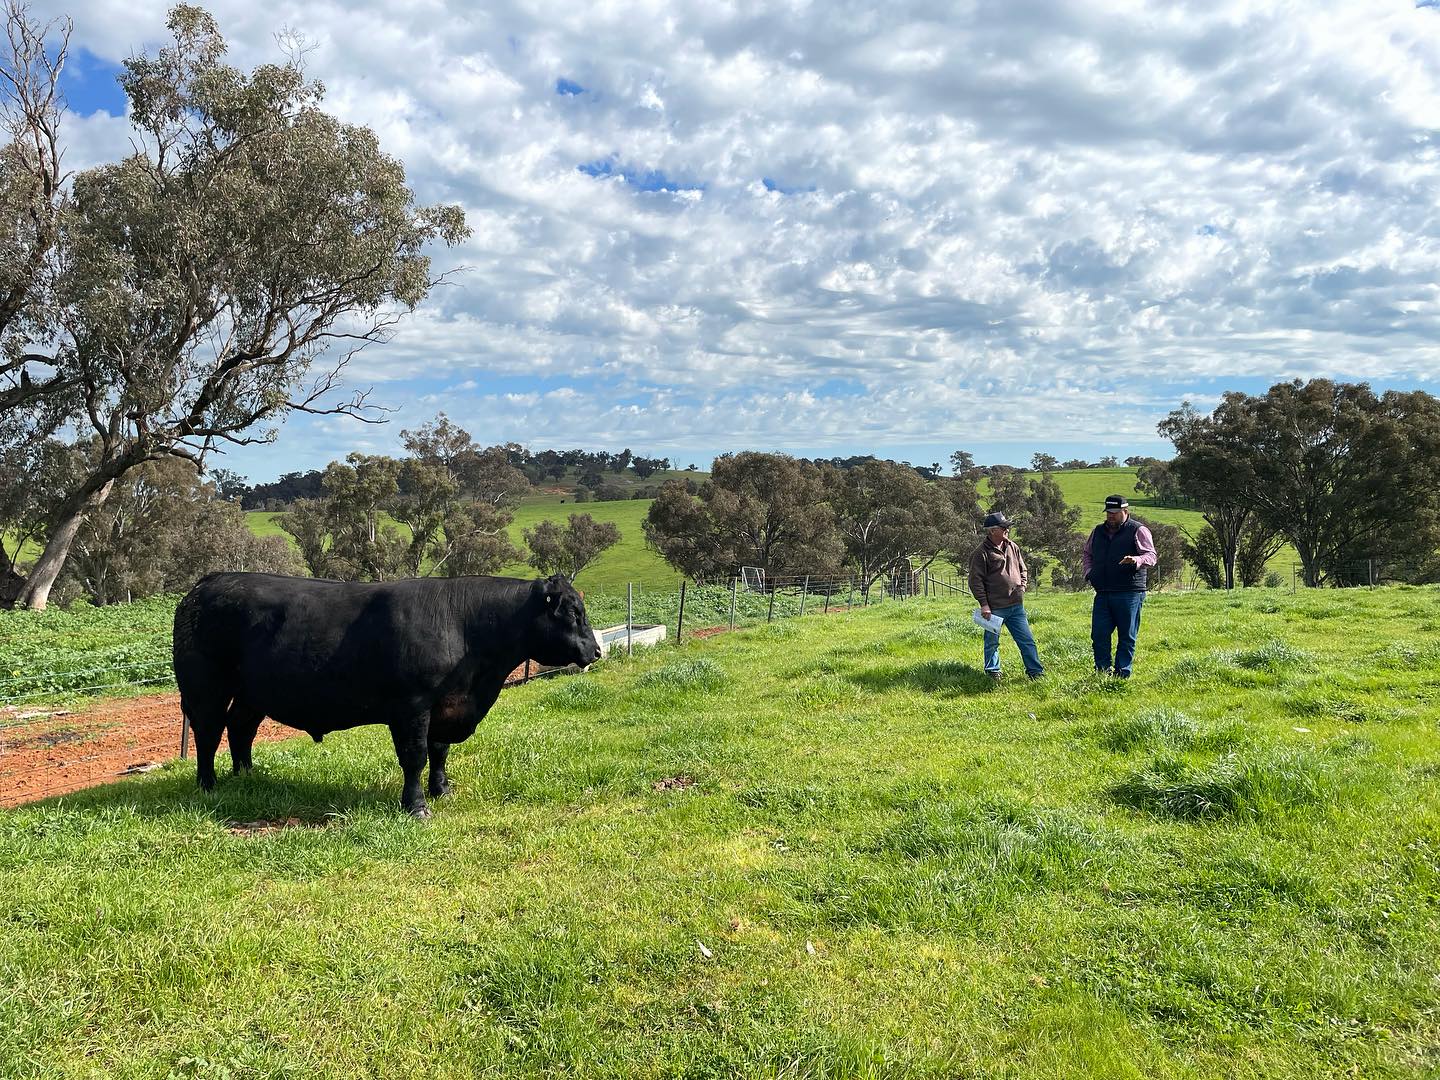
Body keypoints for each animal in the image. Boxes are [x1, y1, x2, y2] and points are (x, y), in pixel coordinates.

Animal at [172, 572, 602, 816]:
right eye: (573, 613)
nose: (595, 651)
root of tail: (206, 583)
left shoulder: (445, 708)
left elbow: (439, 752)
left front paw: (441, 790)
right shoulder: (411, 706)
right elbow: (415, 758)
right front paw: (416, 806)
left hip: (252, 693)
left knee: (240, 728)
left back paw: (248, 775)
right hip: (205, 687)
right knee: (208, 732)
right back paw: (208, 785)